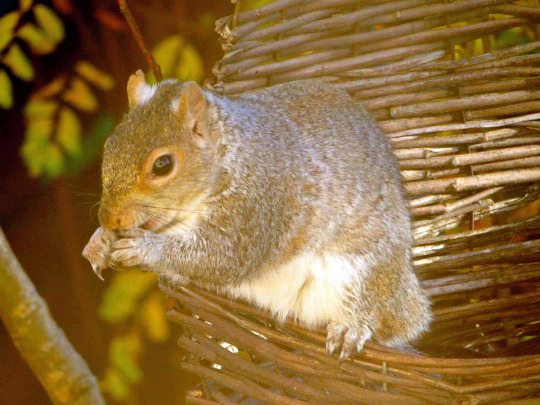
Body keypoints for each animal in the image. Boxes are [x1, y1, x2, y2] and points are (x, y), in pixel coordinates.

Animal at [82, 71, 432, 358]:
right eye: (109, 147)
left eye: (163, 164)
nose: (109, 218)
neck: (230, 152)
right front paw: (98, 242)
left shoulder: (258, 207)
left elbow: (222, 257)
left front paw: (143, 247)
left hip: (364, 270)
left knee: (382, 316)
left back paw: (354, 327)